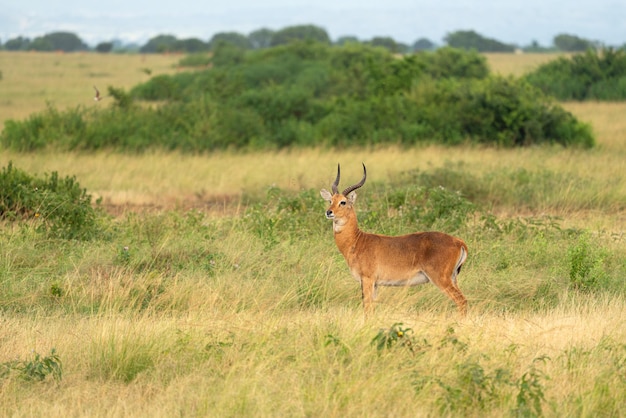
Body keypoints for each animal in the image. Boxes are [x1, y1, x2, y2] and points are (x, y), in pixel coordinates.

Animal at [320, 163, 466, 316]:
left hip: (441, 279)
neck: (357, 240)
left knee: (462, 301)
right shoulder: (375, 284)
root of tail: (459, 242)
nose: (329, 212)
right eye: (330, 201)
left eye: (343, 202)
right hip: (453, 278)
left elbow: (367, 308)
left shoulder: (367, 279)